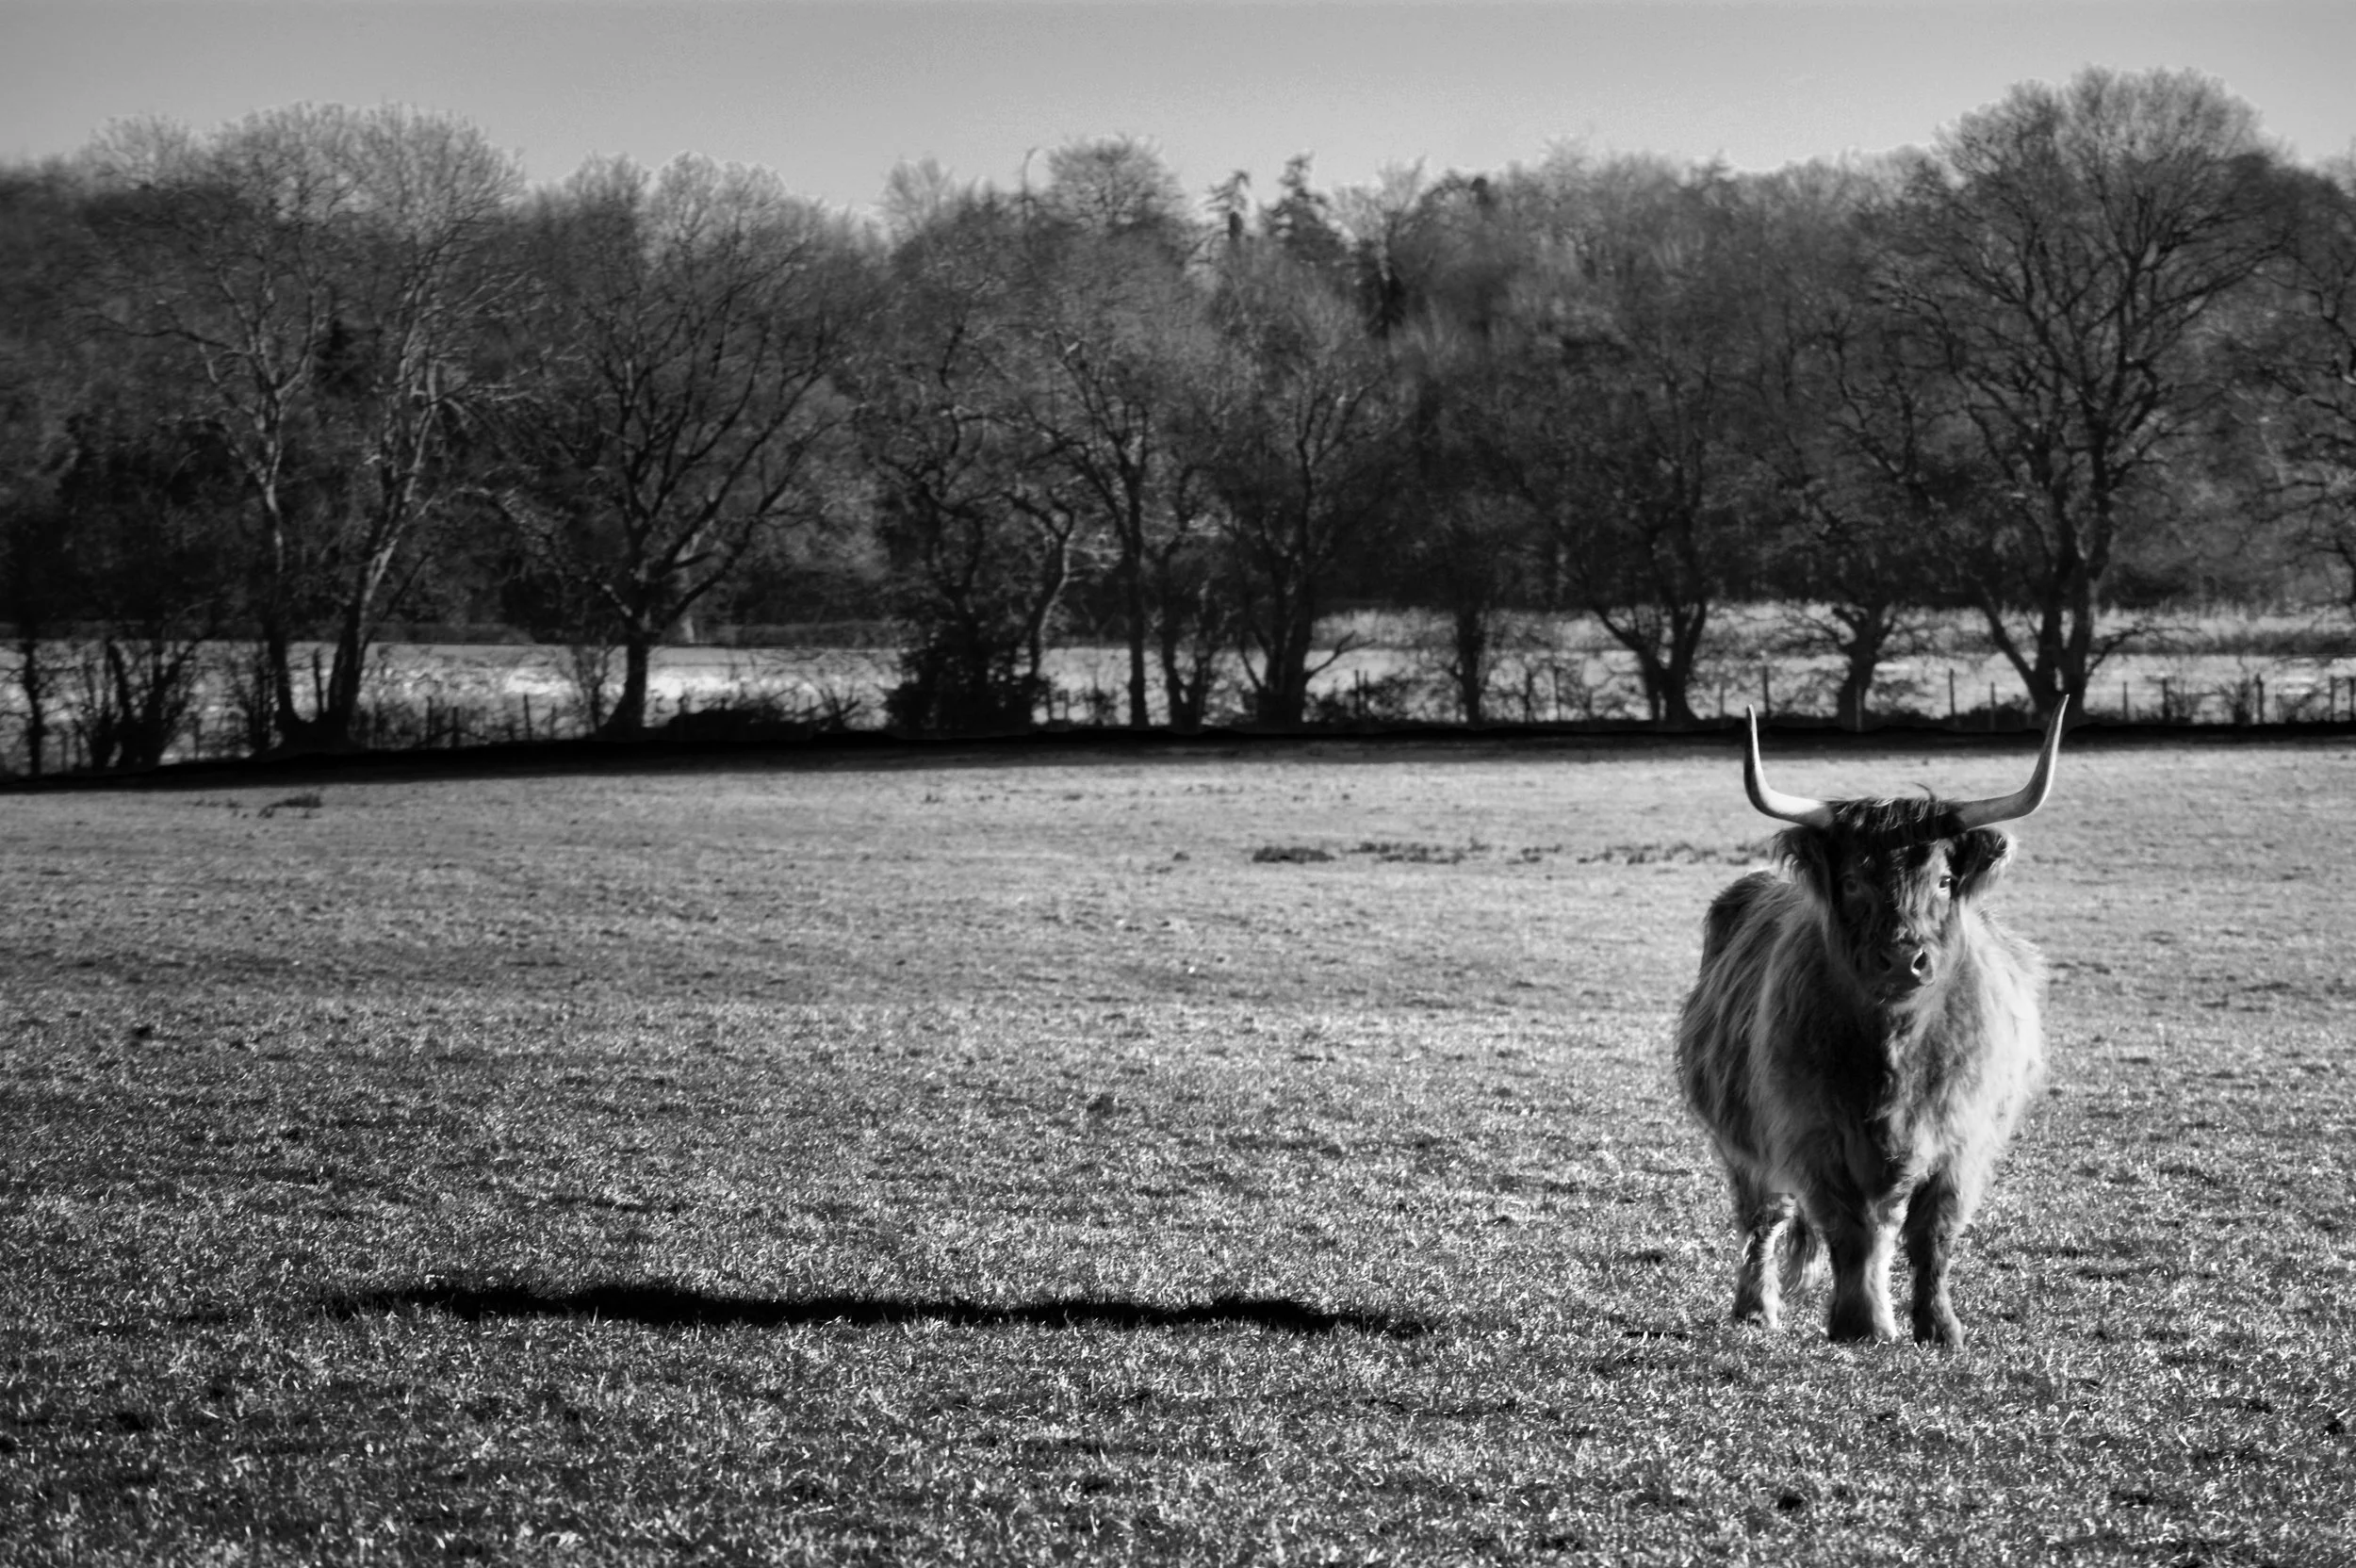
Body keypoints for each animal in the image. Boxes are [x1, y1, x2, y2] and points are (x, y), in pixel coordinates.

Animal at [1674, 701, 2066, 1346]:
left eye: (1943, 880)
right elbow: (1848, 1229)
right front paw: (1859, 1323)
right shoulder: (1814, 1132)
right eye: (1854, 881)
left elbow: (1932, 1233)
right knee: (1765, 1218)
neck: (1895, 1049)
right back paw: (1756, 1308)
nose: (1904, 960)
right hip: (1743, 1140)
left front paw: (1938, 1327)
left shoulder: (1964, 1138)